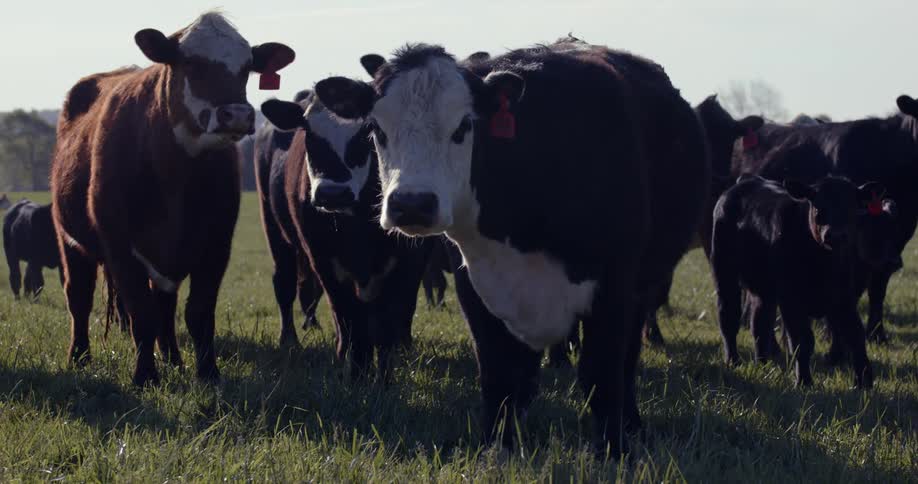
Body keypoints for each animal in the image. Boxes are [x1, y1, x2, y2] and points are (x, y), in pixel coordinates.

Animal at [50, 12, 295, 386]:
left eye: (247, 68)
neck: (175, 175)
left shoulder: (216, 244)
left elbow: (198, 312)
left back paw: (173, 358)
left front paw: (207, 373)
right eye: (190, 63)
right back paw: (79, 357)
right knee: (78, 298)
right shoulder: (119, 247)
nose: (237, 115)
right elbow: (140, 312)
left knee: (164, 304)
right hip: (70, 241)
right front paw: (145, 375)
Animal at [312, 38, 711, 455]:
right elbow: (498, 375)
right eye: (375, 129)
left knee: (626, 360)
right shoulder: (475, 286)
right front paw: (496, 447)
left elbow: (602, 374)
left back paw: (632, 424)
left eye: (464, 126)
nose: (412, 204)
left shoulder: (615, 286)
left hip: (643, 285)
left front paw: (613, 451)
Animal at [711, 175, 894, 388]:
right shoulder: (791, 299)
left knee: (759, 322)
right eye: (818, 208)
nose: (834, 235)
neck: (822, 263)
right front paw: (804, 381)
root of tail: (747, 181)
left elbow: (855, 335)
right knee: (728, 316)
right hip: (724, 272)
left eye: (852, 209)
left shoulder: (844, 297)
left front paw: (864, 381)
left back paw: (763, 364)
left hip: (764, 290)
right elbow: (802, 341)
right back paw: (733, 361)